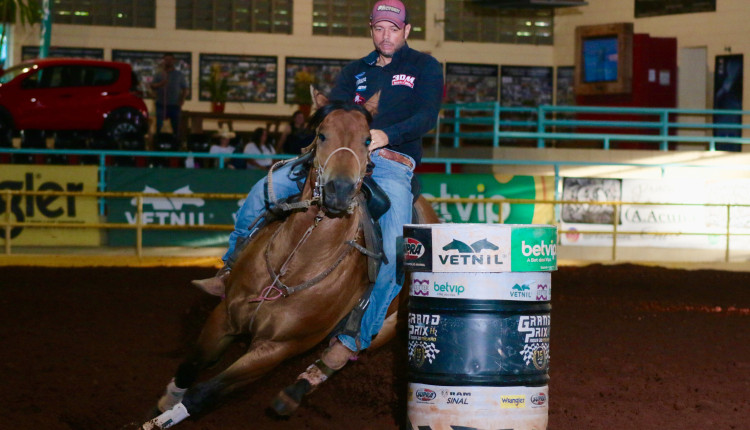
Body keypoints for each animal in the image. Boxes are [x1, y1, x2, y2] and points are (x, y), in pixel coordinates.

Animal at [140, 90, 440, 426]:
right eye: (321, 134)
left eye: (367, 140)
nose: (339, 191)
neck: (295, 262)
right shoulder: (224, 316)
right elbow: (194, 363)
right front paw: (166, 401)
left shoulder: (276, 349)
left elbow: (204, 393)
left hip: (383, 329)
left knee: (341, 354)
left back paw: (297, 390)